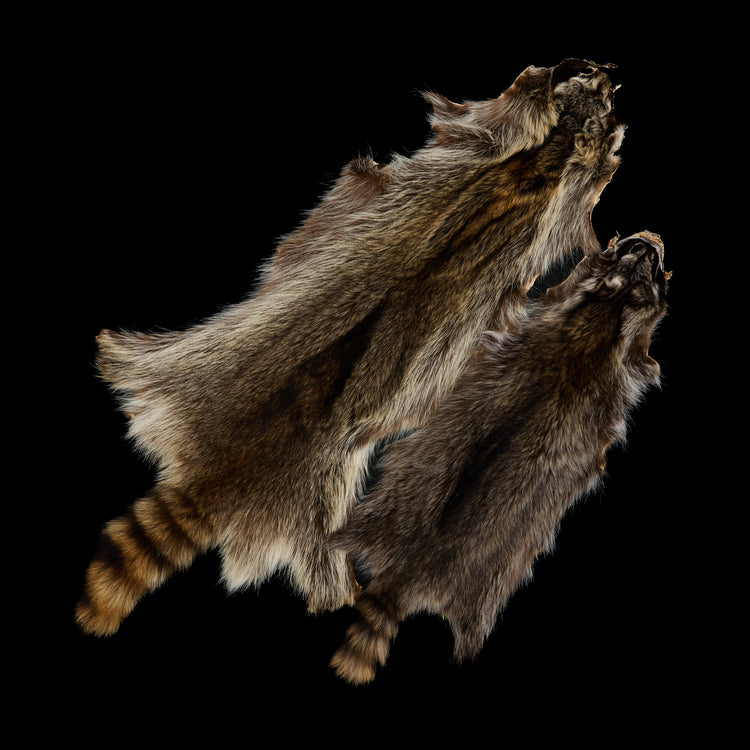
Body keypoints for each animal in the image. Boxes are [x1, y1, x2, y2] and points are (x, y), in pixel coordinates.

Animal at [330, 232, 670, 684]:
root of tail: (407, 572)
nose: (650, 240)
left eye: (650, 266)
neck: (601, 320)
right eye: (637, 256)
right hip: (483, 573)